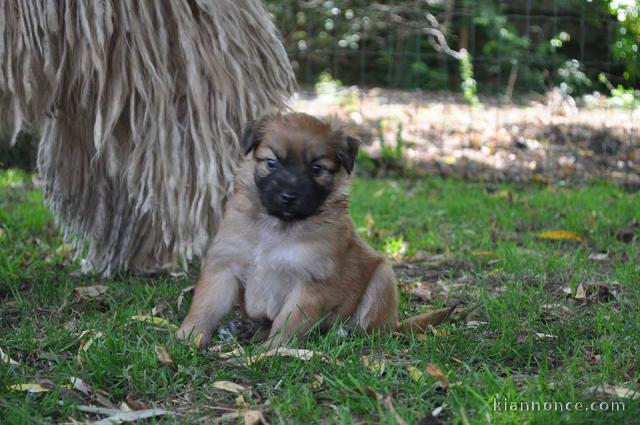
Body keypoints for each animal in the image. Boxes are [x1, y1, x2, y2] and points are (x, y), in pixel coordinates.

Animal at [175, 112, 396, 348]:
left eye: (316, 169)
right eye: (271, 163)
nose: (289, 196)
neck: (276, 226)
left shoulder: (309, 281)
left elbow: (289, 321)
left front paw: (274, 349)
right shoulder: (225, 264)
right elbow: (206, 304)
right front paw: (190, 335)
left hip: (383, 278)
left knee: (370, 326)